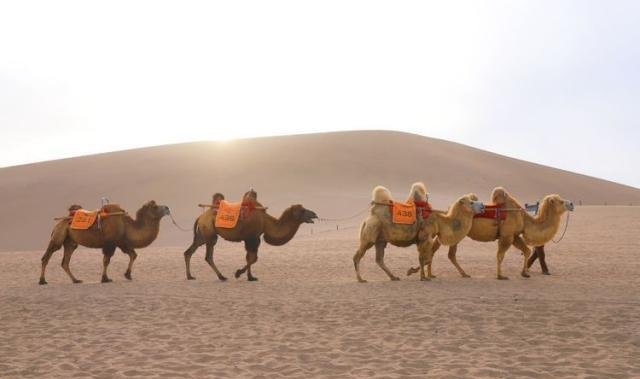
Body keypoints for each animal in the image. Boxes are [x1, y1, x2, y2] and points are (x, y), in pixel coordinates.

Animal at [39, 202, 170, 284]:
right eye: (155, 207)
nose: (167, 208)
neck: (127, 225)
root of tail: (59, 222)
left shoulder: (121, 242)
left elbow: (133, 255)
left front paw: (128, 275)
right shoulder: (110, 243)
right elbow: (106, 260)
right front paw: (105, 278)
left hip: (70, 242)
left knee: (65, 262)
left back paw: (76, 280)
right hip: (58, 235)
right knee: (47, 256)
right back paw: (42, 281)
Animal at [182, 190, 318, 282]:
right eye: (303, 211)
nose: (315, 214)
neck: (266, 222)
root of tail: (200, 217)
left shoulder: (252, 238)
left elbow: (249, 258)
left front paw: (251, 277)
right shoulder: (252, 238)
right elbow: (253, 258)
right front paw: (238, 273)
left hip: (201, 236)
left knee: (188, 252)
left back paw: (190, 276)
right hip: (210, 234)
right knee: (208, 256)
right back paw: (222, 277)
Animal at [352, 184, 482, 282]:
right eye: (471, 202)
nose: (482, 206)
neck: (440, 221)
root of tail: (371, 214)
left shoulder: (422, 240)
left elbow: (425, 258)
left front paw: (416, 273)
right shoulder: (425, 236)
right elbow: (424, 258)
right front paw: (421, 276)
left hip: (381, 239)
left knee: (379, 259)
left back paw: (393, 277)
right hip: (370, 233)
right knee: (357, 256)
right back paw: (360, 279)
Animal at [410, 189, 576, 280]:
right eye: (561, 201)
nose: (572, 203)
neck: (523, 218)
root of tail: (449, 209)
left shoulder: (514, 235)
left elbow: (527, 250)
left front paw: (525, 273)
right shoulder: (507, 236)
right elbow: (500, 255)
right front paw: (500, 276)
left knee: (441, 251)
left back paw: (438, 274)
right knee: (443, 252)